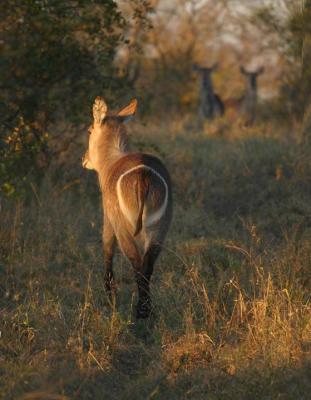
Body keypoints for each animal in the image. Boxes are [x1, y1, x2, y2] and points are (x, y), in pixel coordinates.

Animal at [83, 97, 173, 318]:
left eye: (89, 130)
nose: (84, 159)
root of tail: (143, 175)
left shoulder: (108, 218)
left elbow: (107, 249)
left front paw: (109, 296)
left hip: (123, 228)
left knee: (137, 264)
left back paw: (140, 311)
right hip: (159, 228)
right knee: (147, 265)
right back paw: (147, 309)